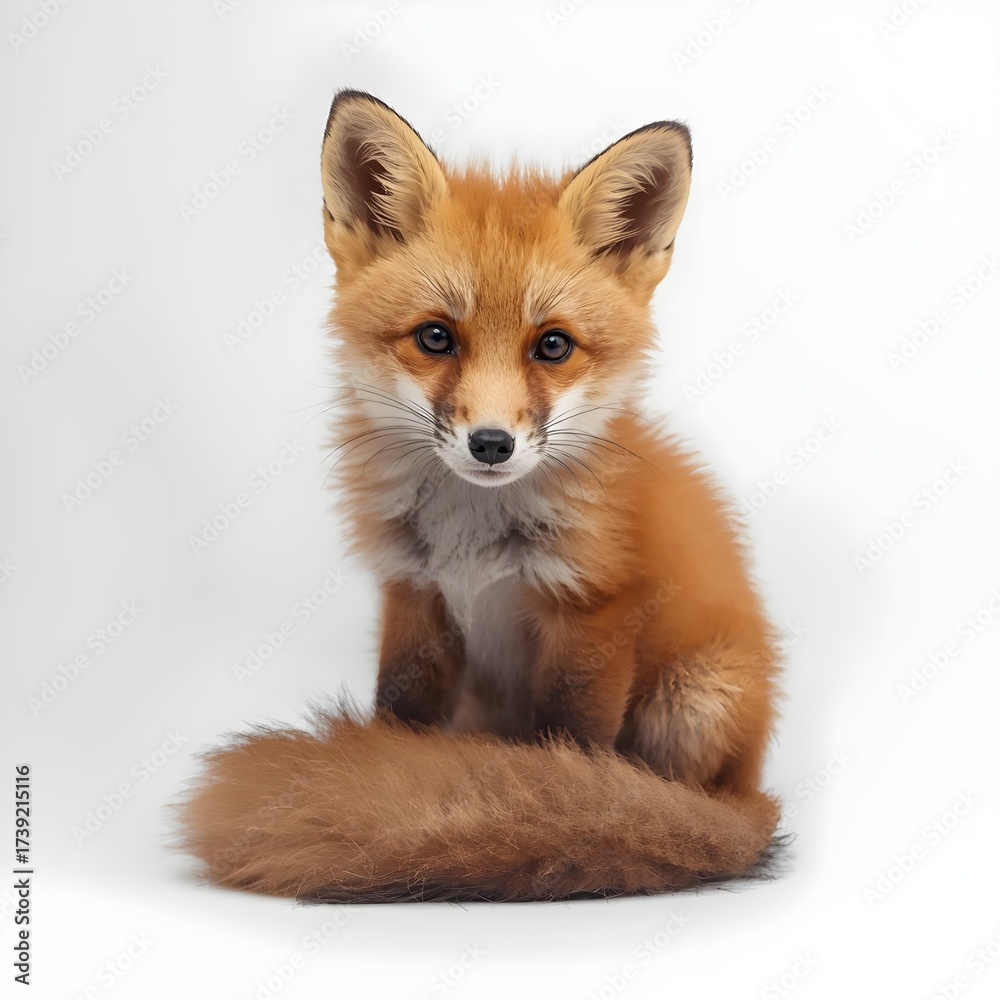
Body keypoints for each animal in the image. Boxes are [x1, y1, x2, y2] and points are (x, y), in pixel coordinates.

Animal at [178, 89, 786, 902]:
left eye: (553, 345)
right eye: (436, 338)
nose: (491, 443)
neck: (474, 540)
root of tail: (758, 798)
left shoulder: (591, 612)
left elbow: (571, 754)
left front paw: (570, 809)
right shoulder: (415, 594)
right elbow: (397, 718)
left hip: (697, 695)